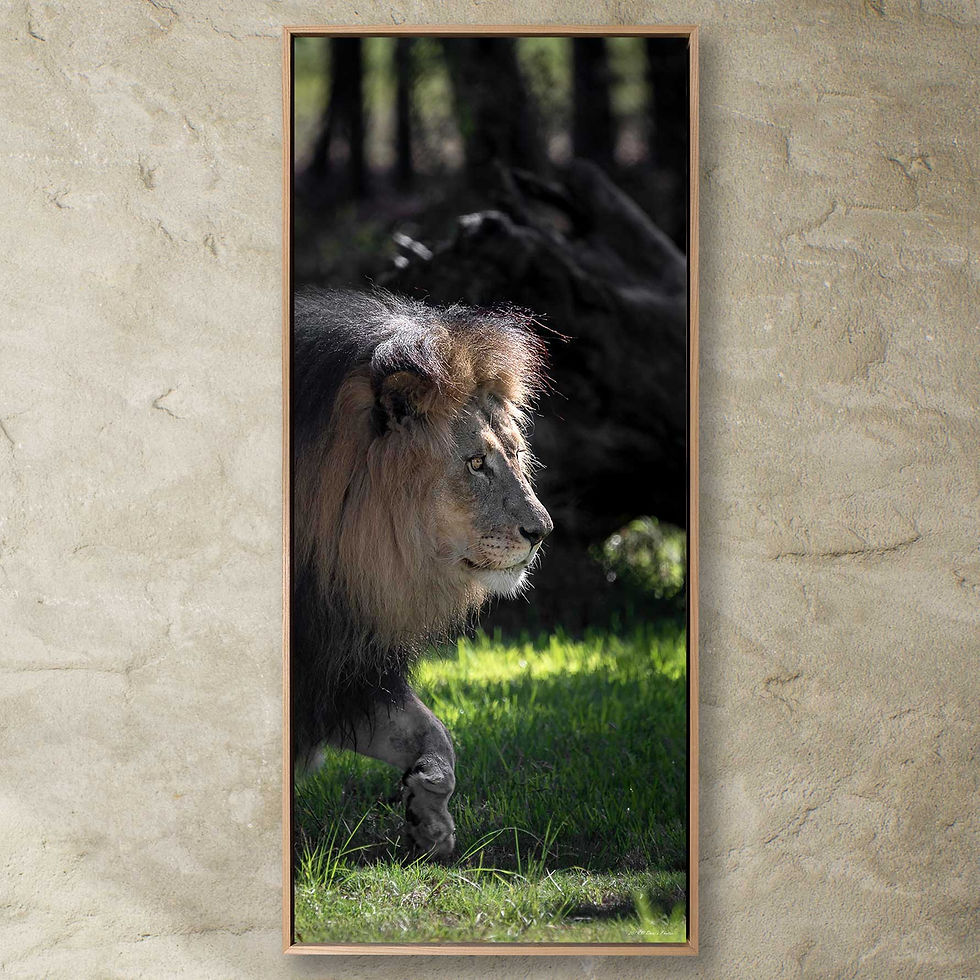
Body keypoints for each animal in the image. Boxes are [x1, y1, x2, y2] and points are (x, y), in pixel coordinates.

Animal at [292, 288, 552, 858]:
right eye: (476, 463)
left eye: (515, 453)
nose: (542, 531)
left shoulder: (341, 662)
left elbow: (436, 734)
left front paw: (428, 810)